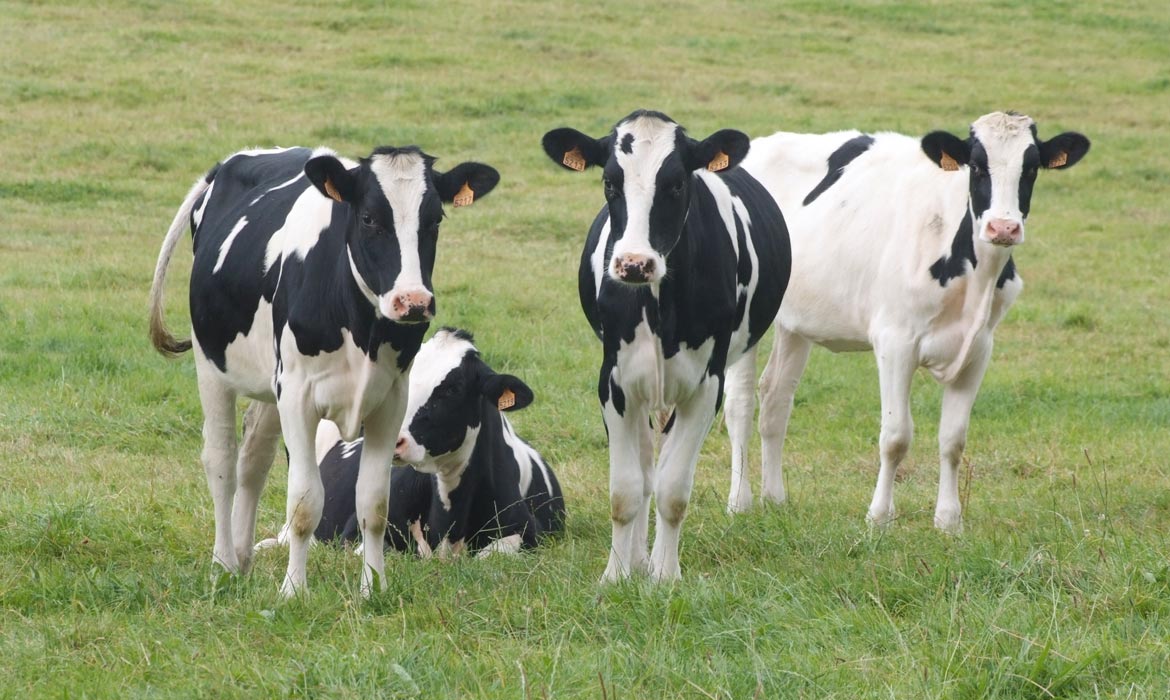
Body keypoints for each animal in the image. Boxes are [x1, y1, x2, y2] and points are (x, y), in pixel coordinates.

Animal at [148, 143, 496, 596]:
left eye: (435, 218)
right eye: (368, 218)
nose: (413, 302)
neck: (362, 328)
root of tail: (232, 161)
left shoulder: (391, 401)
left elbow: (373, 503)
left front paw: (373, 588)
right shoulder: (298, 396)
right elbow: (304, 502)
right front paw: (294, 591)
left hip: (270, 385)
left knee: (253, 460)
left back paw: (241, 559)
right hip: (212, 363)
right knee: (221, 460)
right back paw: (222, 564)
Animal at [257, 330, 566, 559]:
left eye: (453, 389)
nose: (390, 438)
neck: (449, 521)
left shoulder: (528, 533)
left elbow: (491, 554)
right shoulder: (355, 533)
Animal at [542, 108, 790, 580]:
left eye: (676, 184)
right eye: (610, 183)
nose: (634, 264)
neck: (659, 308)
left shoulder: (705, 385)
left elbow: (673, 489)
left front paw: (663, 576)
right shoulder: (614, 384)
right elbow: (626, 489)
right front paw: (618, 574)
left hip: (741, 350)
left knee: (741, 410)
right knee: (643, 468)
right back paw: (637, 556)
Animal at [739, 112, 1085, 531]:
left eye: (1031, 168)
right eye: (977, 166)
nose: (1003, 228)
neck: (975, 279)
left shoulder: (980, 348)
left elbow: (953, 439)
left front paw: (949, 521)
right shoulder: (895, 341)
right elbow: (896, 436)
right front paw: (878, 517)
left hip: (796, 321)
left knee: (775, 399)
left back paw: (774, 500)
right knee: (740, 403)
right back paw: (739, 502)